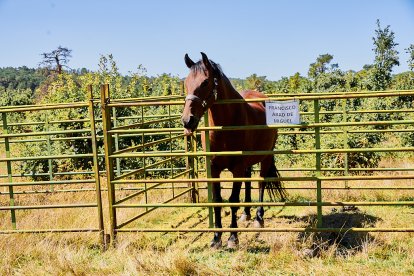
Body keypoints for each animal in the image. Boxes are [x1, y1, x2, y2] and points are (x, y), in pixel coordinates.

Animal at [183, 52, 286, 249]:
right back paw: (246, 214)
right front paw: (216, 238)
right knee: (248, 180)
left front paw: (232, 238)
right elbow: (217, 201)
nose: (187, 120)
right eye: (185, 82)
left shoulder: (237, 168)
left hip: (266, 157)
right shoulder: (214, 169)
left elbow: (232, 200)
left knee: (260, 183)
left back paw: (258, 218)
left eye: (205, 82)